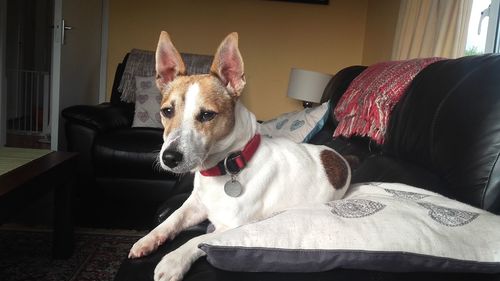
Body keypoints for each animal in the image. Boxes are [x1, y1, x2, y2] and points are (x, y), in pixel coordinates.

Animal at [127, 31, 350, 280]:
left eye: (207, 115)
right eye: (167, 111)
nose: (169, 158)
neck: (226, 166)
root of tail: (339, 157)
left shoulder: (232, 227)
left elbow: (196, 240)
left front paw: (173, 261)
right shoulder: (195, 205)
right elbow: (172, 218)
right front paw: (149, 239)